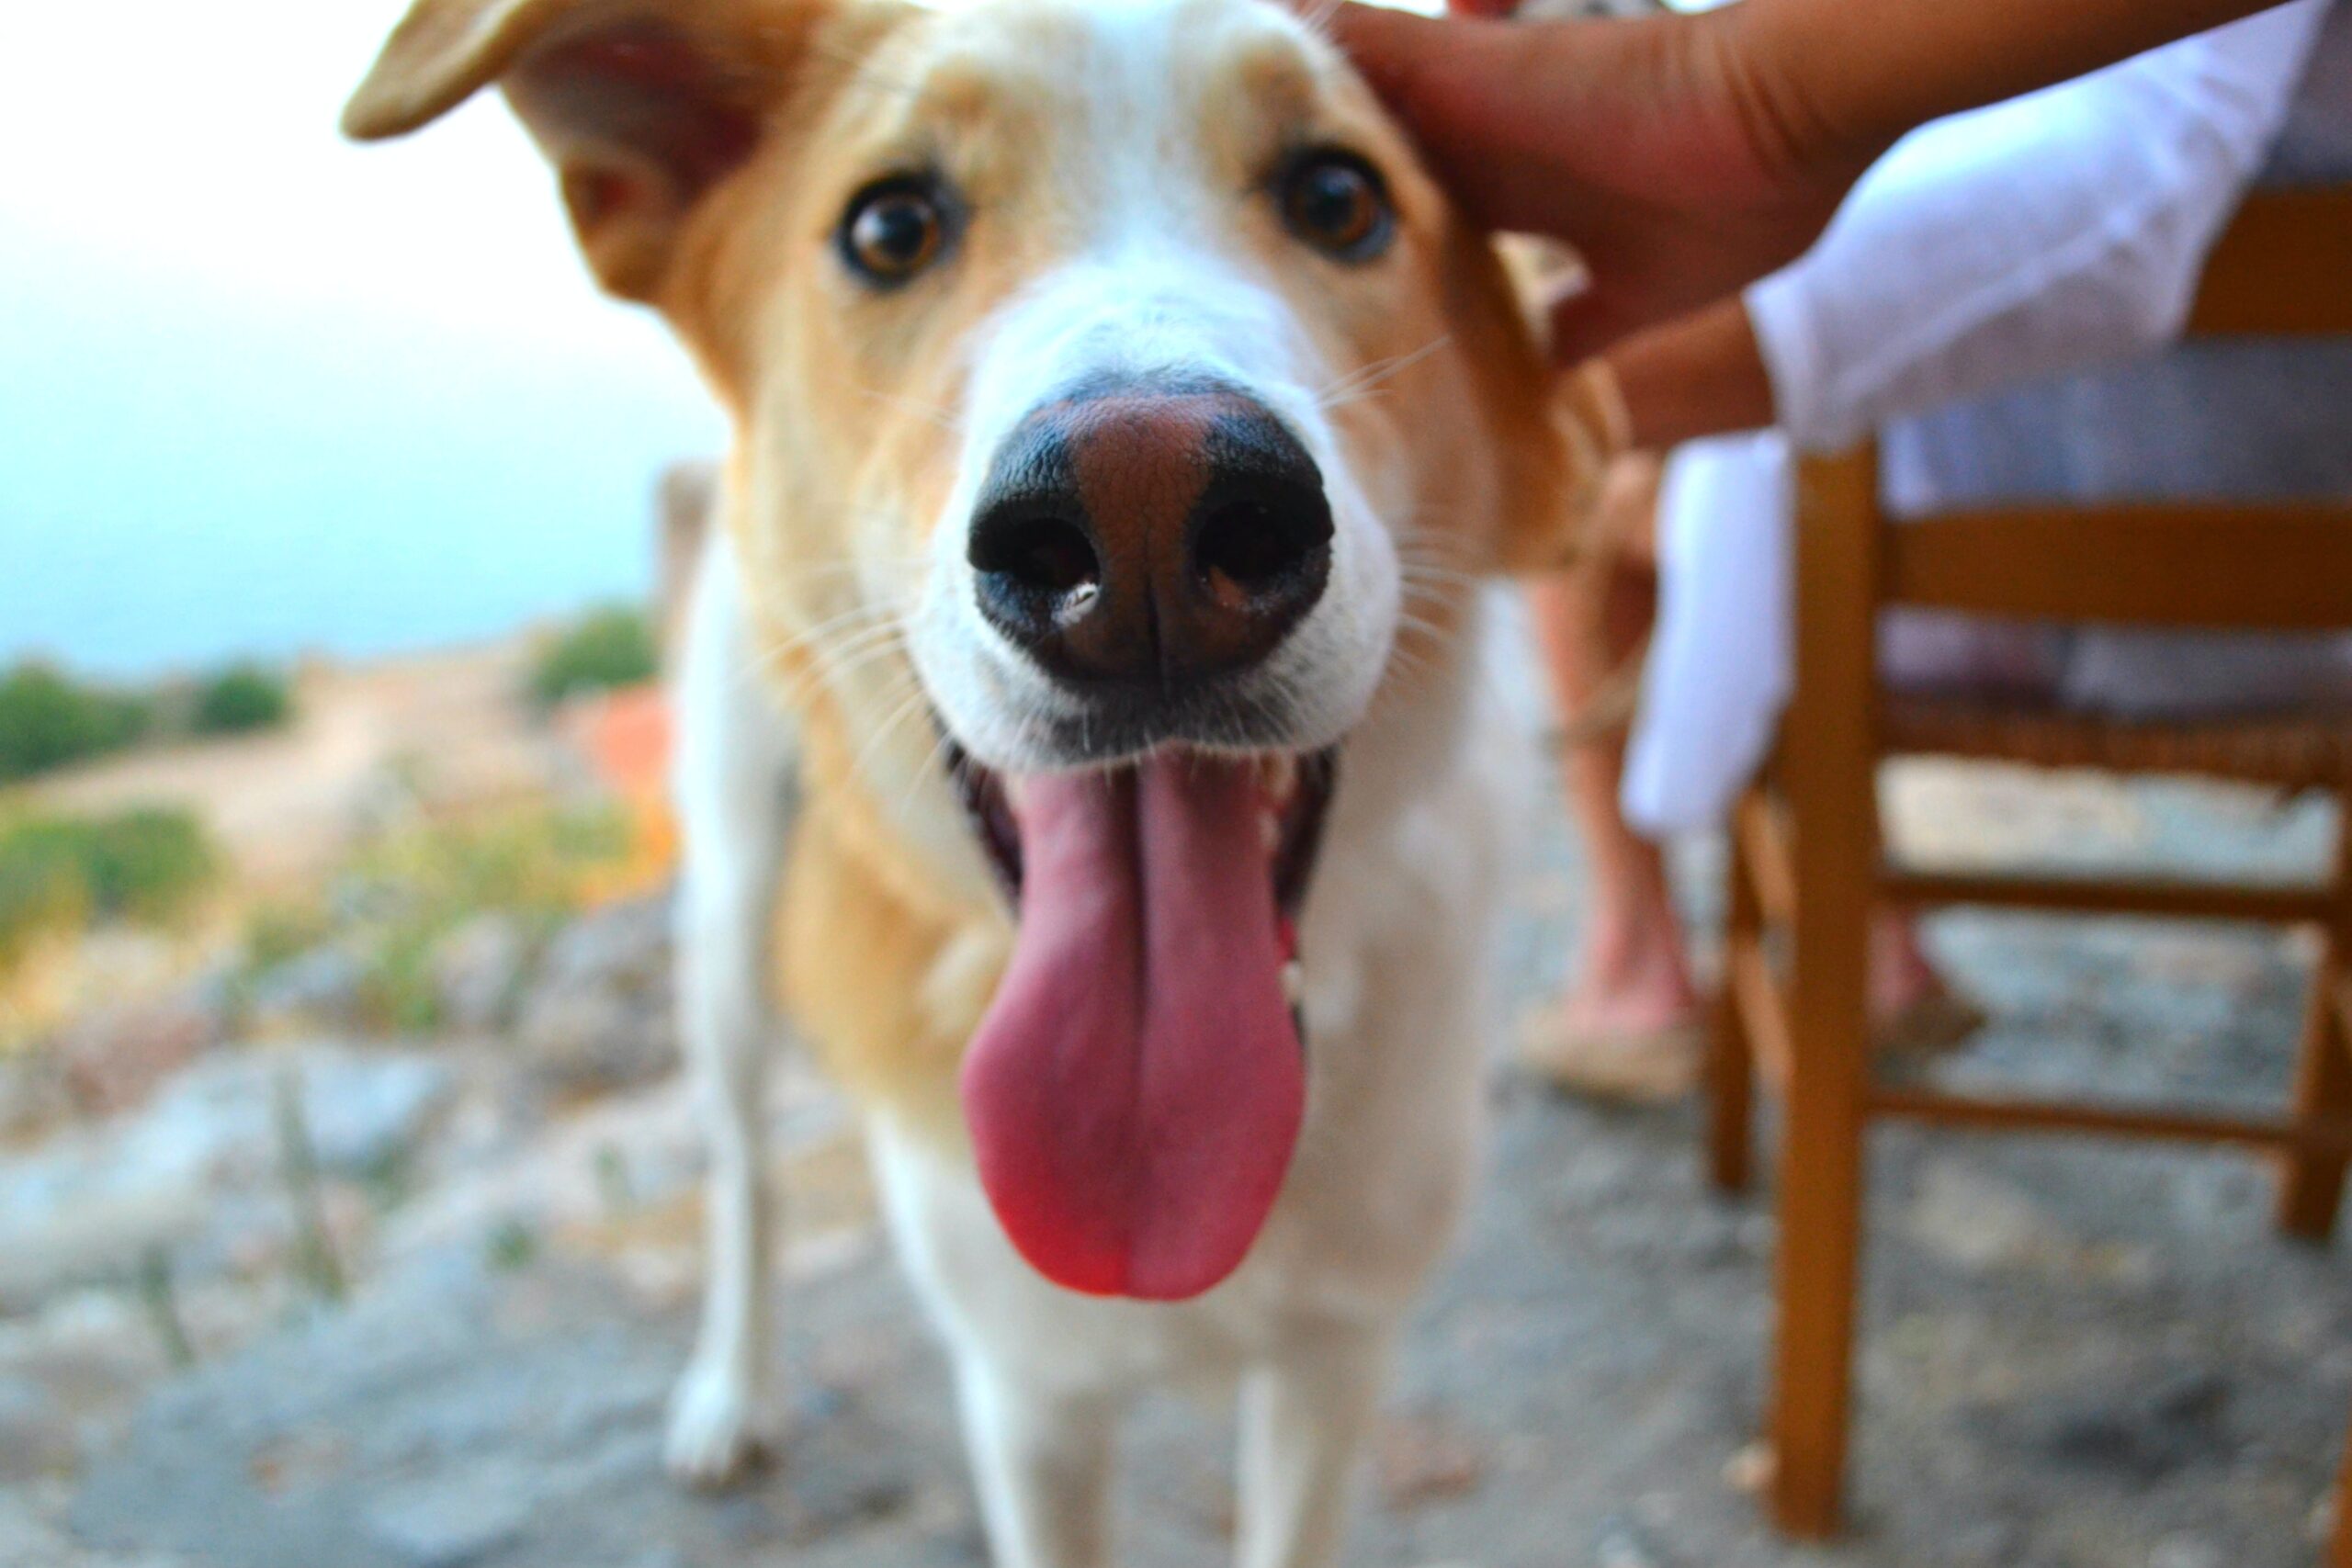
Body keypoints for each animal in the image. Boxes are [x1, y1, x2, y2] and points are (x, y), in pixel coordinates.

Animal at [343, 6, 1599, 1561]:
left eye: (1336, 197)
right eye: (891, 226)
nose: (1143, 514)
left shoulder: (1335, 1359)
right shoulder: (1026, 1392)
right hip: (731, 912)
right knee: (746, 1167)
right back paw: (731, 1390)